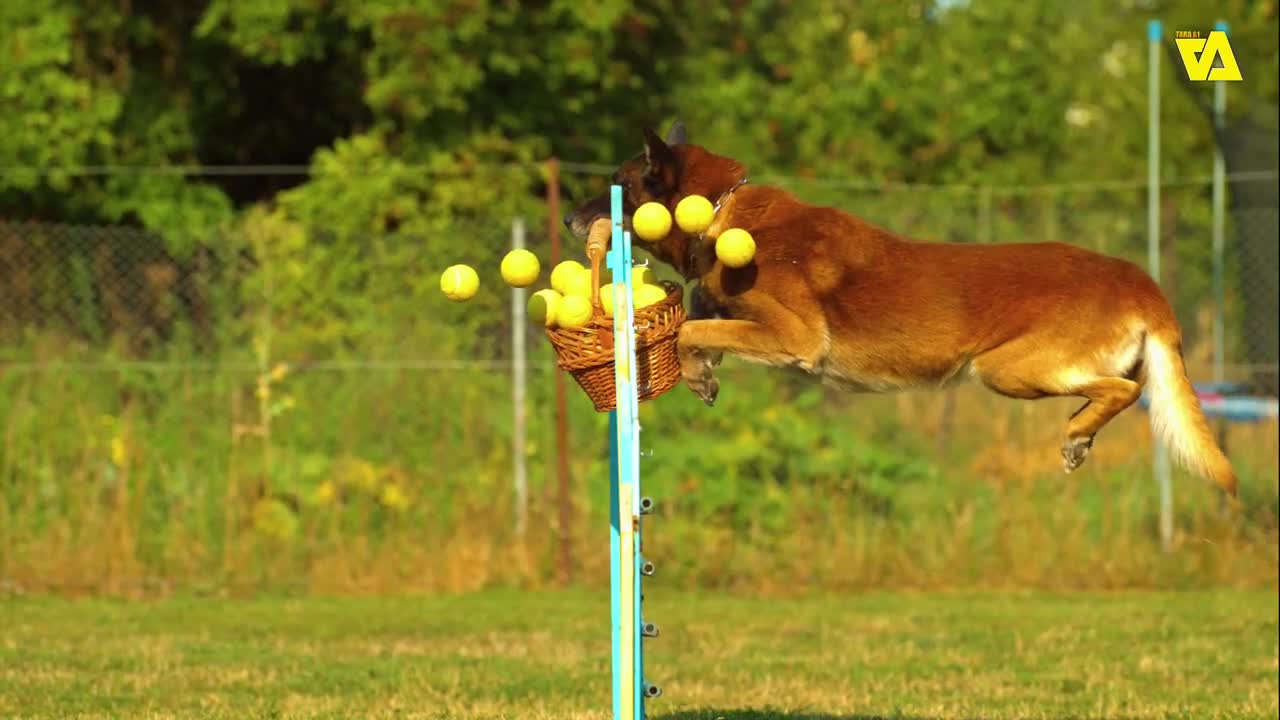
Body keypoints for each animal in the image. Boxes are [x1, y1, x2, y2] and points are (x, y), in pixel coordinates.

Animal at [565, 121, 1233, 491]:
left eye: (618, 183)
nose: (572, 218)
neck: (721, 210)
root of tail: (1140, 281)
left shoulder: (794, 336)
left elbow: (692, 331)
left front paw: (696, 366)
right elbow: (702, 319)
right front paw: (702, 373)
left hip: (1006, 368)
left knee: (1125, 390)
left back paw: (1075, 435)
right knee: (1121, 391)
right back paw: (1081, 438)